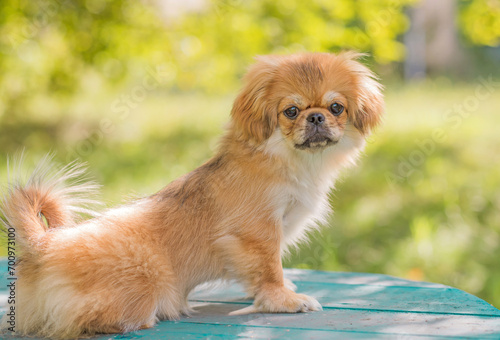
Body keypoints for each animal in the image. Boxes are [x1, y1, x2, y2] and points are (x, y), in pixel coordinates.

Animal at [0, 51, 382, 338]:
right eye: (291, 111)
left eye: (336, 108)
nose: (315, 117)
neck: (289, 162)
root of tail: (44, 245)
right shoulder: (258, 232)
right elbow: (269, 269)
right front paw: (285, 300)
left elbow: (261, 272)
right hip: (146, 275)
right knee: (76, 322)